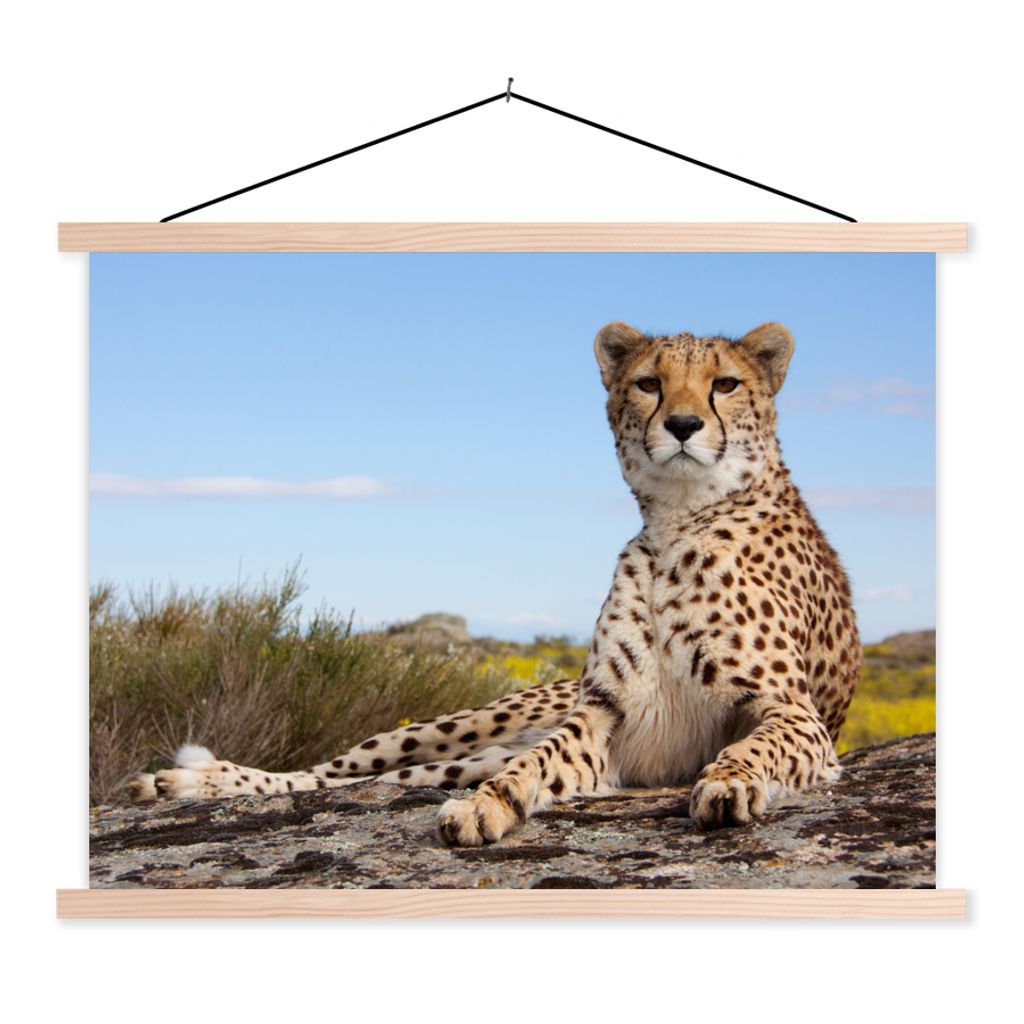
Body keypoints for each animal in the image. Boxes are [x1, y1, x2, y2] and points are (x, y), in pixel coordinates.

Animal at [131, 320, 861, 847]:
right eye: (650, 384)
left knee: (373, 779)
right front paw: (488, 806)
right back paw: (190, 781)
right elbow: (535, 764)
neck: (679, 521)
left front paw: (728, 783)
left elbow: (754, 745)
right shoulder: (605, 715)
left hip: (459, 752)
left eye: (726, 384)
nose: (683, 425)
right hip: (456, 729)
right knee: (329, 772)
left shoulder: (794, 713)